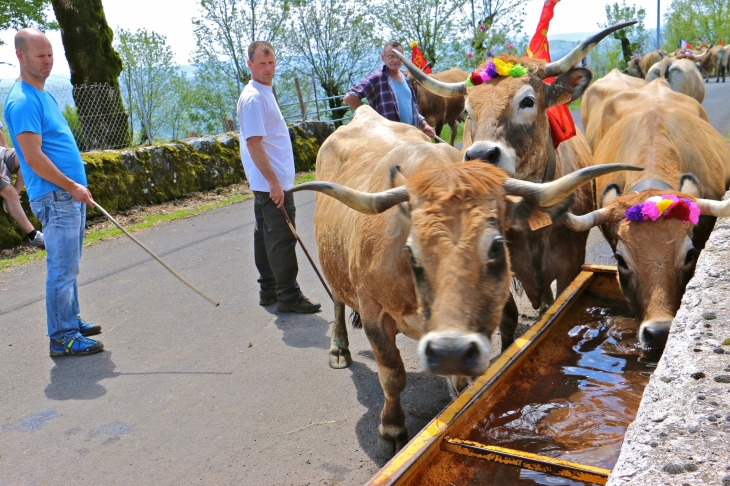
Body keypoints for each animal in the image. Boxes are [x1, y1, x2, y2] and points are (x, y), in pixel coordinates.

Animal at [288, 104, 636, 458]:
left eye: (496, 245)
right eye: (411, 251)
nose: (448, 349)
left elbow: (464, 371)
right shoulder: (375, 315)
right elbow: (392, 375)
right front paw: (391, 430)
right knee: (337, 301)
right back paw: (338, 349)